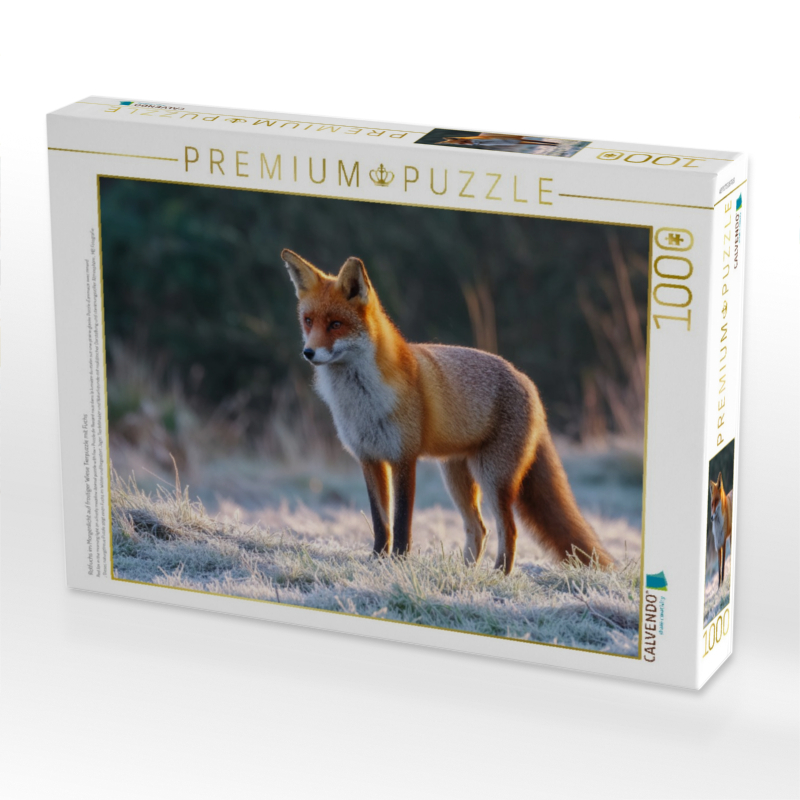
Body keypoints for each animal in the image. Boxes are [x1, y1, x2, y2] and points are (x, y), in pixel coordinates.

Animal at [281, 249, 613, 575]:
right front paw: (376, 561)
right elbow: (380, 523)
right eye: (308, 321)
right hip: (456, 477)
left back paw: (498, 576)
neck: (360, 401)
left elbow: (401, 524)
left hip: (493, 477)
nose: (308, 352)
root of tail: (527, 381)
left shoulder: (404, 458)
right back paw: (465, 574)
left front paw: (399, 562)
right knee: (479, 529)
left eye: (335, 324)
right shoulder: (369, 459)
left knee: (509, 529)